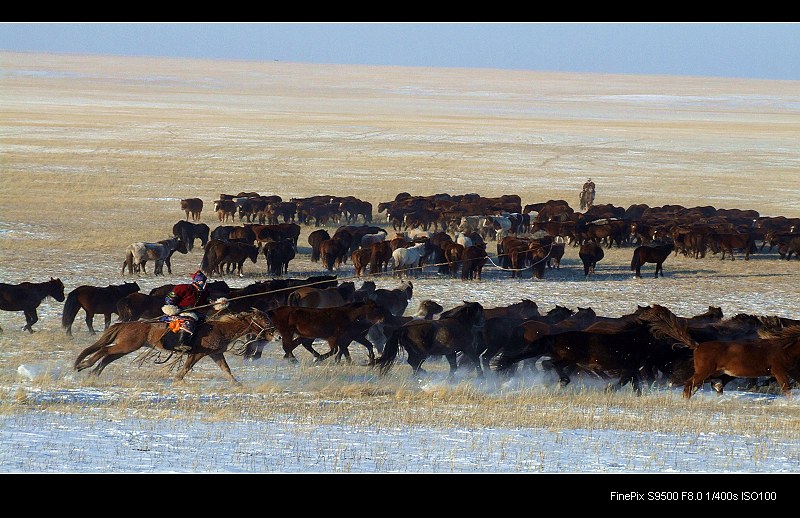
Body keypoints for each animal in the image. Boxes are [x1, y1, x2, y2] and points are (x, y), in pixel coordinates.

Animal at [75, 308, 276, 386]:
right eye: (264, 320)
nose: (276, 335)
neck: (220, 328)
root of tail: (127, 324)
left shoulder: (215, 354)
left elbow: (226, 369)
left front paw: (237, 384)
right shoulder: (198, 354)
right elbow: (186, 368)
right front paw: (177, 380)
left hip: (126, 347)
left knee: (108, 357)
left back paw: (93, 373)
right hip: (127, 345)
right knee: (104, 351)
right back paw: (85, 365)